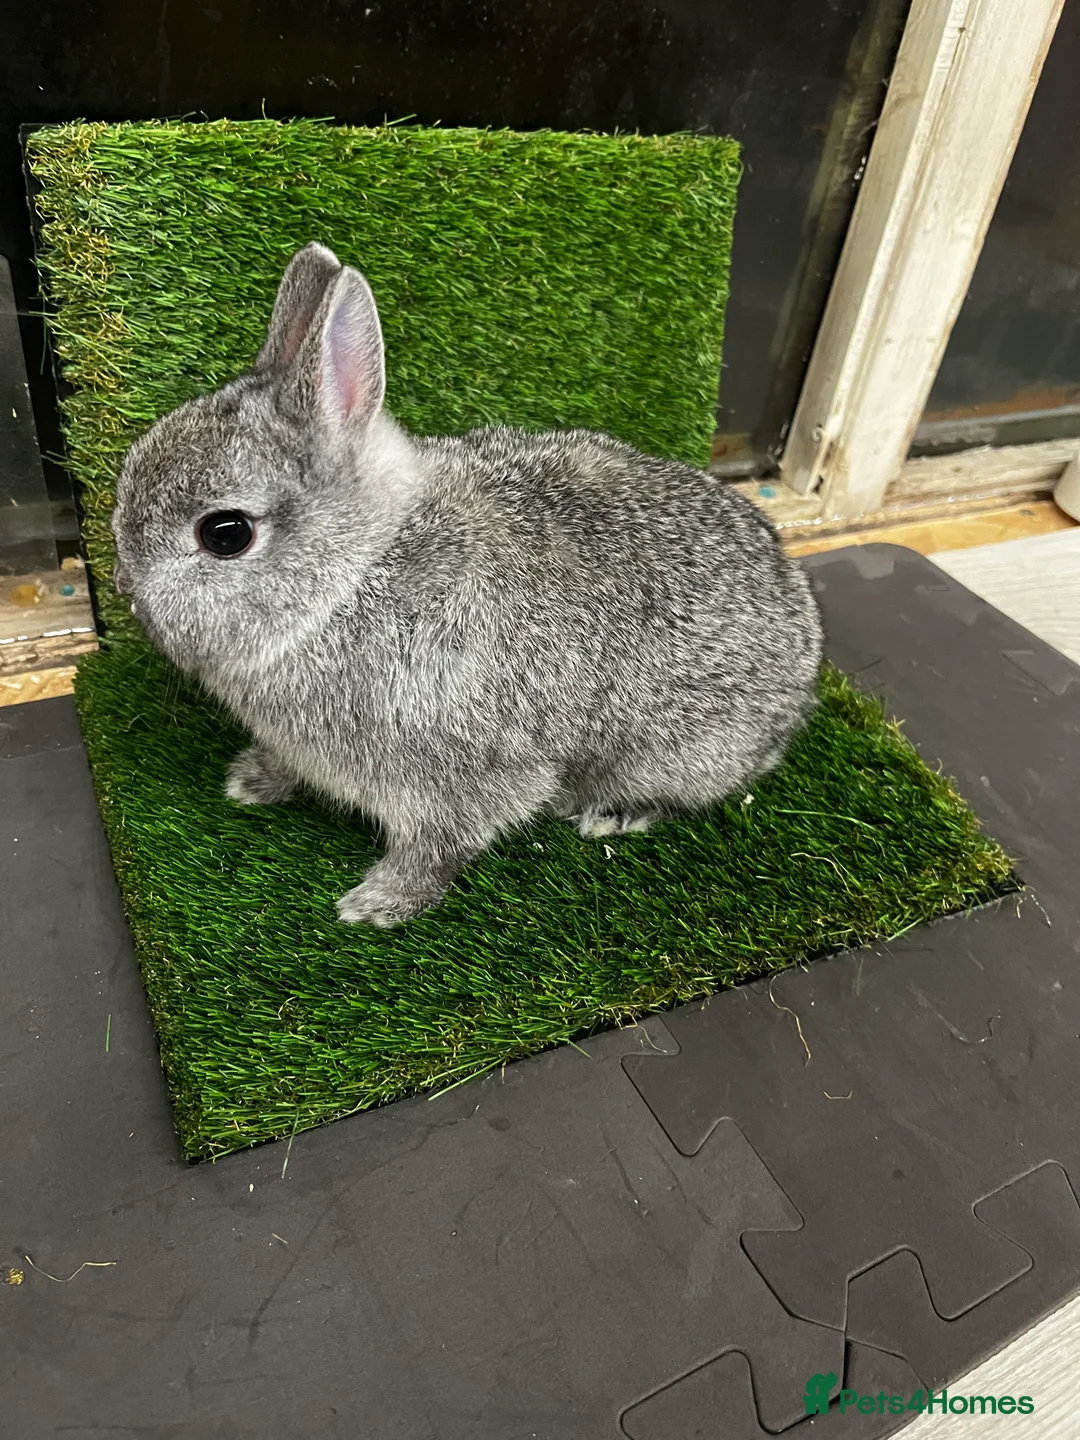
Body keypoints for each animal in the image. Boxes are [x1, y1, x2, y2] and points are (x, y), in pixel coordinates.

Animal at [111, 242, 823, 927]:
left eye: (225, 533)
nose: (123, 586)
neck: (355, 577)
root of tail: (804, 669)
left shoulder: (463, 772)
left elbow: (440, 845)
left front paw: (376, 905)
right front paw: (253, 781)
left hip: (679, 750)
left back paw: (614, 815)